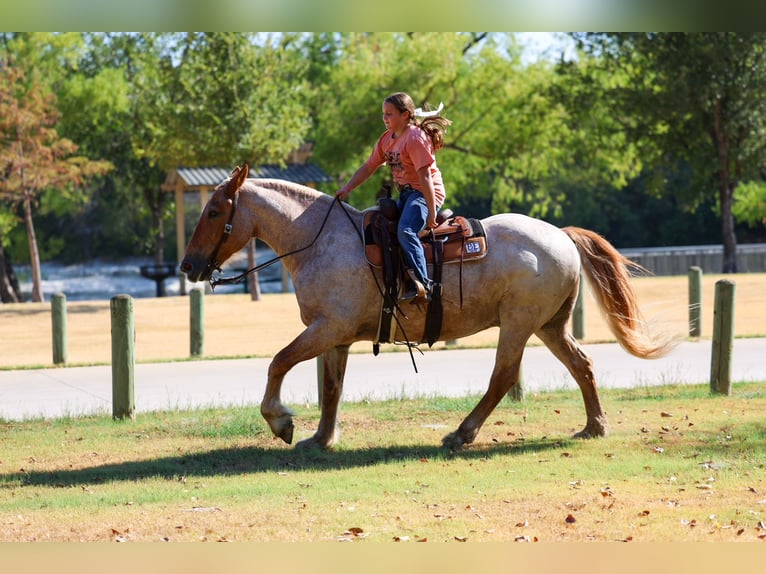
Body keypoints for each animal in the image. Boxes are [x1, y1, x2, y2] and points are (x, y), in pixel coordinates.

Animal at [180, 164, 675, 451]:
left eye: (214, 211)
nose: (187, 265)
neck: (320, 240)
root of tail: (562, 236)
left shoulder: (326, 328)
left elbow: (279, 362)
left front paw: (280, 422)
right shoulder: (335, 335)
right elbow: (331, 388)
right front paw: (320, 438)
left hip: (519, 323)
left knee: (503, 376)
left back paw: (462, 433)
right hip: (550, 325)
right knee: (582, 365)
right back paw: (594, 426)